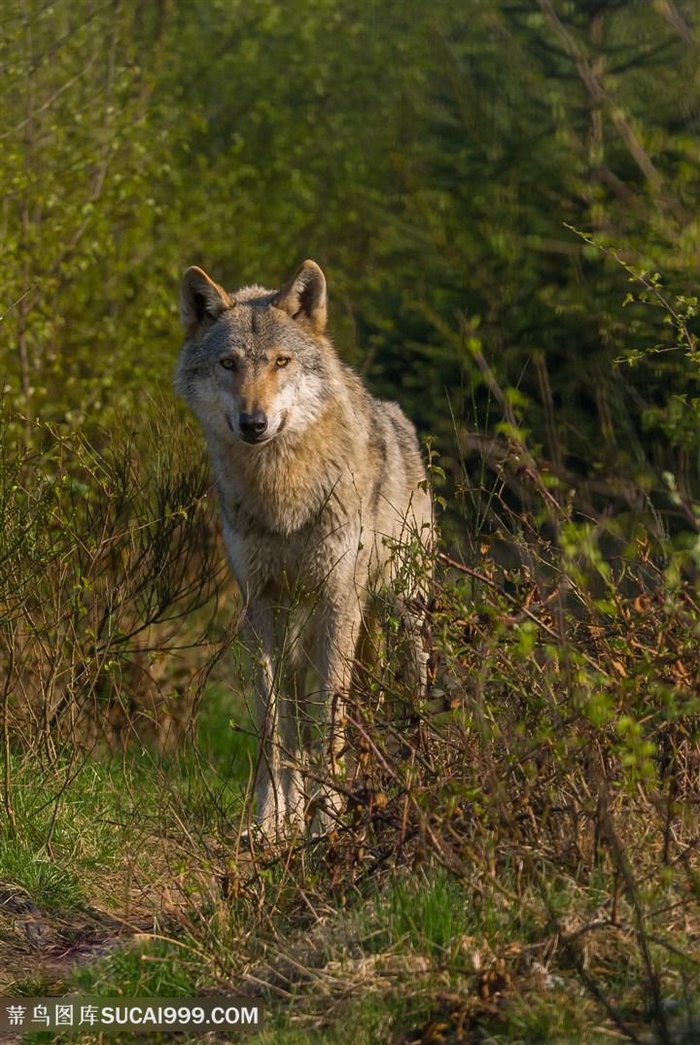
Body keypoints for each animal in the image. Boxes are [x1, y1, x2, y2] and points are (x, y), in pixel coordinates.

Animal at [175, 261, 432, 840]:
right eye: (229, 363)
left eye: (281, 361)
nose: (253, 423)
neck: (283, 494)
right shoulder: (259, 606)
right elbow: (274, 729)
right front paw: (270, 825)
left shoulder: (339, 601)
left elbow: (329, 720)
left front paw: (328, 821)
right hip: (299, 629)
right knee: (297, 720)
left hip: (399, 613)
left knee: (409, 701)